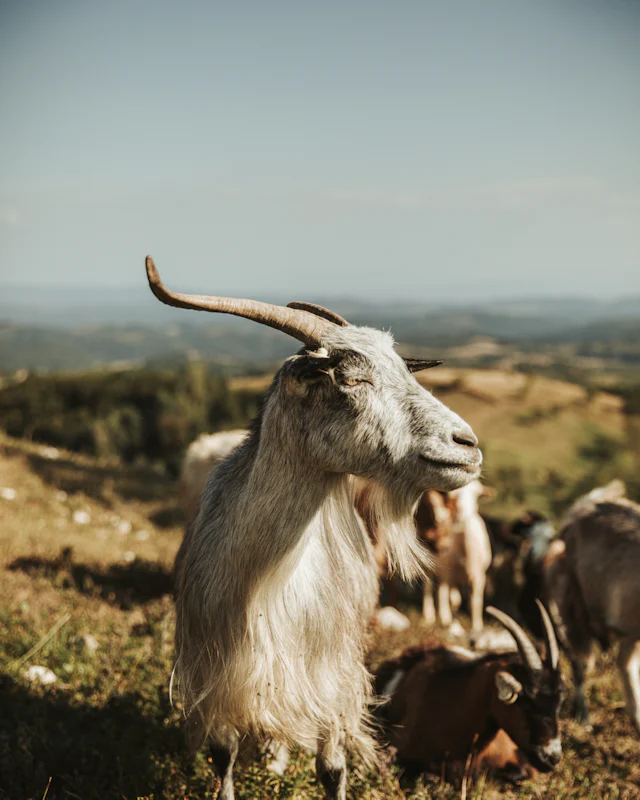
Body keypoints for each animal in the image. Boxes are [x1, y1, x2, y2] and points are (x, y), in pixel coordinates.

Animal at [145, 257, 482, 799]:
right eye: (351, 378)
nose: (466, 444)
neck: (266, 577)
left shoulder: (330, 675)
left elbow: (332, 766)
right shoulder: (219, 670)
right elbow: (223, 755)